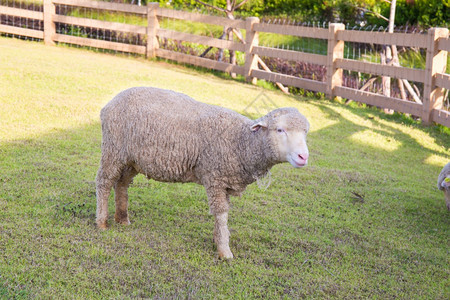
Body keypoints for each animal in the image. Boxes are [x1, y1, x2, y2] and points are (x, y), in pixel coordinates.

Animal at [96, 86, 312, 258]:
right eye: (280, 130)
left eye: (305, 132)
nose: (303, 157)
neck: (241, 141)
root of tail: (110, 103)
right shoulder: (215, 178)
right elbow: (221, 213)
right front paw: (224, 251)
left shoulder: (225, 180)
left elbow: (223, 214)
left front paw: (218, 239)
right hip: (113, 150)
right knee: (104, 182)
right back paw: (102, 222)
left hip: (132, 159)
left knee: (121, 184)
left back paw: (122, 219)